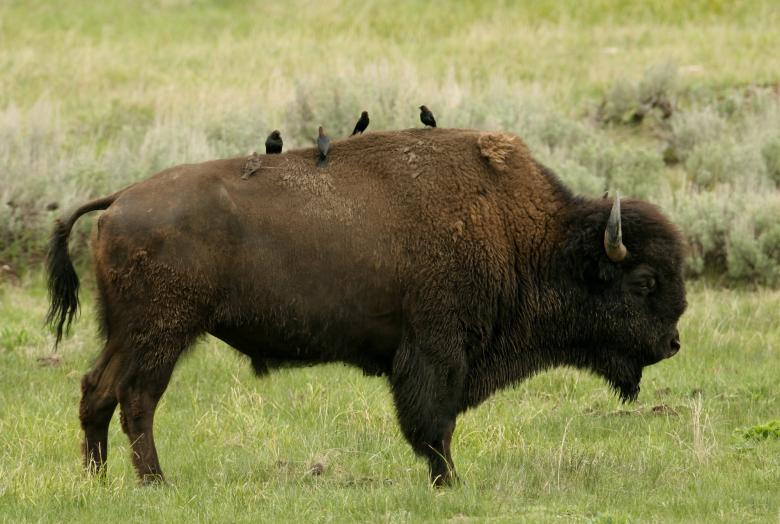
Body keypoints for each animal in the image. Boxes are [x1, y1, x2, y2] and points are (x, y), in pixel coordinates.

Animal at [46, 128, 687, 486]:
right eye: (644, 281)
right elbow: (434, 424)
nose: (673, 343)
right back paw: (156, 483)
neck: (522, 235)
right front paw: (450, 483)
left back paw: (98, 480)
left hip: (127, 334)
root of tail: (119, 199)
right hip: (162, 335)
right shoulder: (435, 351)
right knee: (137, 401)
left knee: (96, 390)